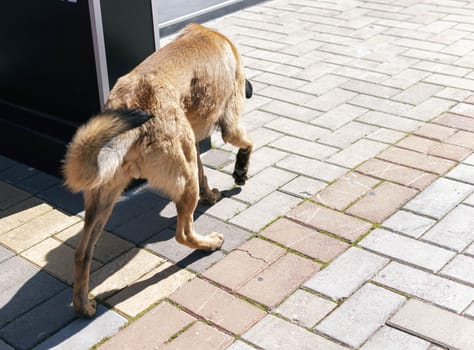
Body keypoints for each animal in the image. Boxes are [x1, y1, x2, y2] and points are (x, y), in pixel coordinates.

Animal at [65, 22, 254, 318]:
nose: (250, 89)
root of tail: (132, 105)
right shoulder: (231, 124)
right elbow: (247, 142)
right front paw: (240, 170)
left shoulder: (193, 146)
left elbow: (204, 171)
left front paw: (210, 194)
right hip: (184, 179)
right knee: (183, 233)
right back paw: (208, 244)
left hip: (103, 199)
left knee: (81, 253)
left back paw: (83, 304)